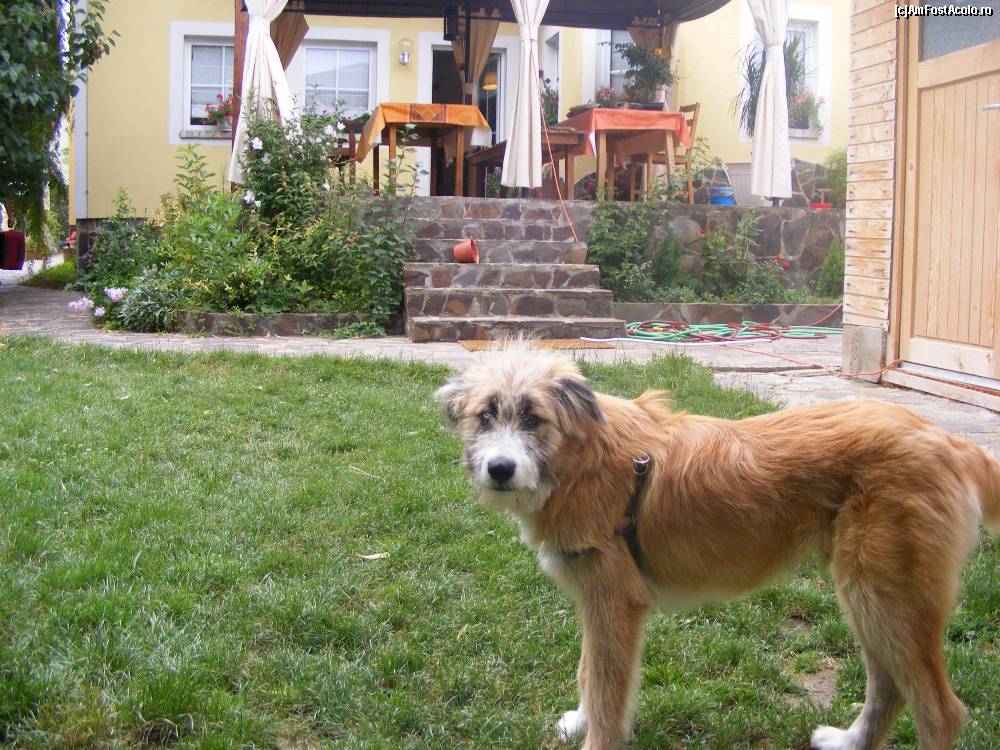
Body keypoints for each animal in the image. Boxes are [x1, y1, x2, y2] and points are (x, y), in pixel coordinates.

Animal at [435, 344, 1000, 750]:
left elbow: (605, 687)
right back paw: (849, 741)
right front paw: (579, 719)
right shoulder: (596, 602)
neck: (580, 457)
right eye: (485, 416)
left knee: (939, 711)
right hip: (871, 597)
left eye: (534, 418)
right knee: (889, 688)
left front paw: (594, 731)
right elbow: (588, 671)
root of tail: (952, 443)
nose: (500, 469)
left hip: (885, 595)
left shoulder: (614, 603)